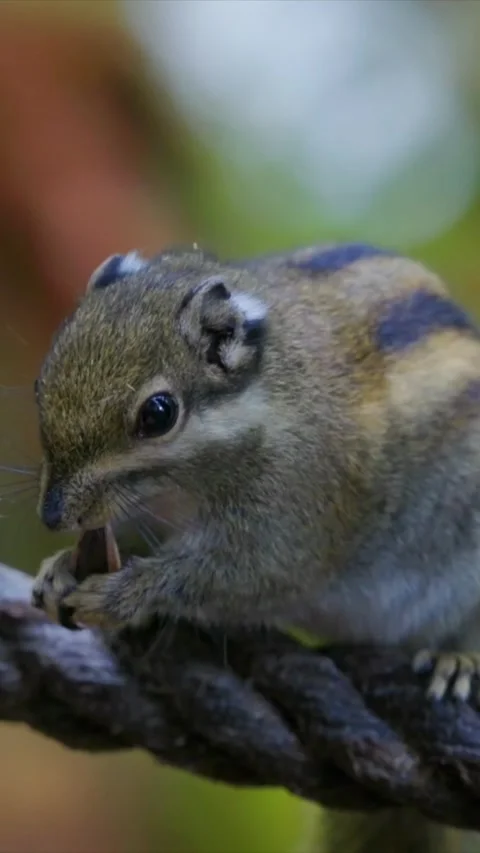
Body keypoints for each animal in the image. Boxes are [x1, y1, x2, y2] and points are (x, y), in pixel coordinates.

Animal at [30, 243, 480, 850]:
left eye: (158, 414)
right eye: (41, 383)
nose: (53, 515)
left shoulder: (291, 519)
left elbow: (242, 575)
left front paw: (126, 594)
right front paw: (57, 570)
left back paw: (458, 658)